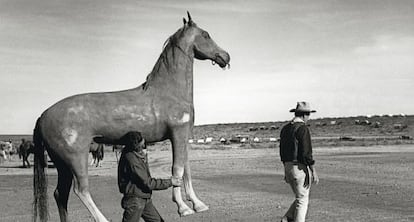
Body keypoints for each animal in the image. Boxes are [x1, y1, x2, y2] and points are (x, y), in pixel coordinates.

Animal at [33, 12, 230, 222]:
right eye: (206, 34)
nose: (225, 56)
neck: (169, 91)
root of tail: (43, 115)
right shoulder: (177, 135)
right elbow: (177, 170)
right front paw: (183, 208)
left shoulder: (183, 137)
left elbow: (186, 171)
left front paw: (198, 204)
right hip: (76, 159)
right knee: (81, 190)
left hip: (62, 164)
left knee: (60, 194)